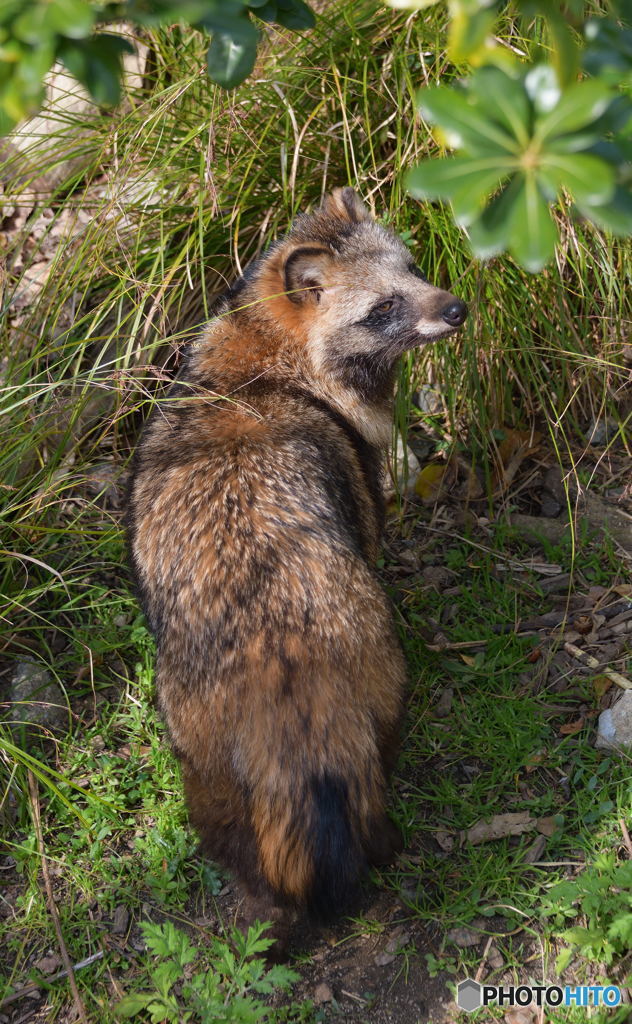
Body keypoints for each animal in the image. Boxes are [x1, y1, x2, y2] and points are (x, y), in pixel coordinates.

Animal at [125, 188, 465, 946]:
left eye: (413, 267)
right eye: (383, 306)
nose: (457, 307)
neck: (257, 364)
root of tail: (281, 665)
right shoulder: (360, 488)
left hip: (202, 754)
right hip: (377, 676)